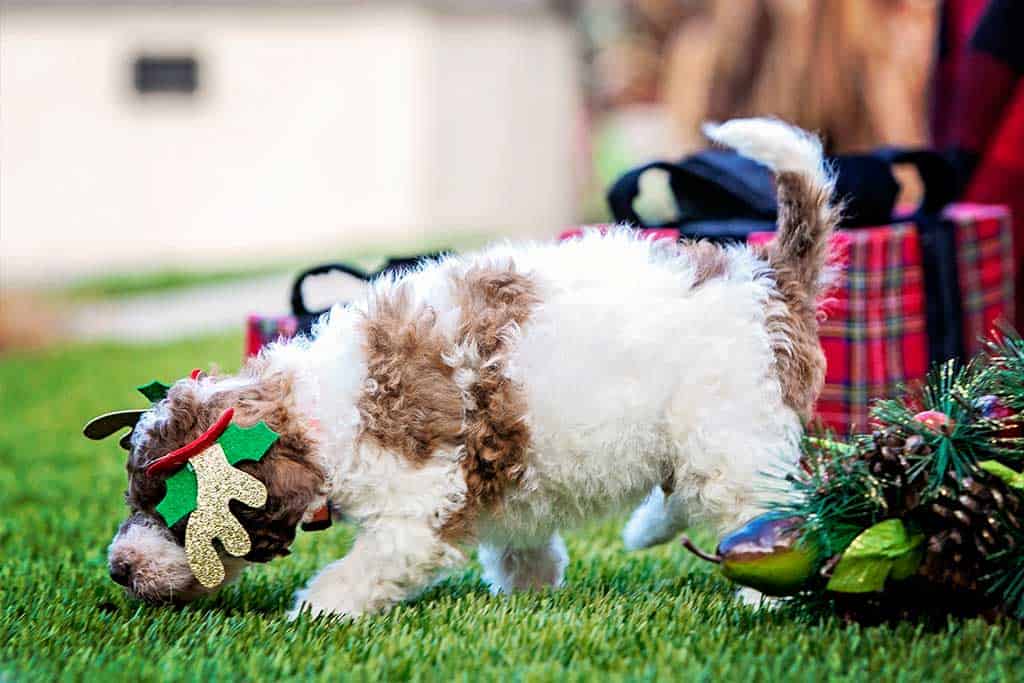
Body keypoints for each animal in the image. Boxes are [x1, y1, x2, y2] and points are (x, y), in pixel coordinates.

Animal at [105, 118, 839, 618]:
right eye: (134, 501)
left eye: (173, 513)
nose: (118, 568)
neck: (317, 405)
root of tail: (770, 275)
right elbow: (521, 537)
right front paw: (529, 584)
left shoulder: (417, 505)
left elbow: (375, 561)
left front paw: (318, 607)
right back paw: (647, 528)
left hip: (731, 431)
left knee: (757, 511)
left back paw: (762, 595)